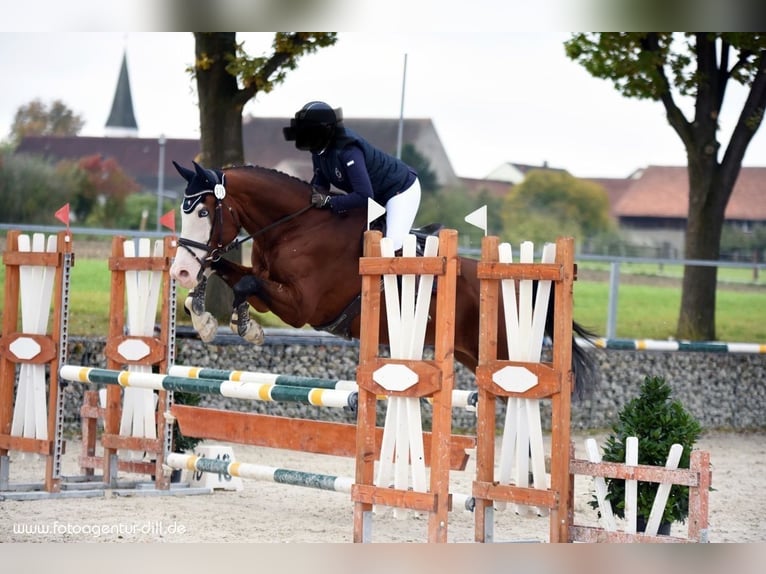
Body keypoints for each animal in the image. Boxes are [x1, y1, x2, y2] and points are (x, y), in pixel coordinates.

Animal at [170, 160, 600, 398]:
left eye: (204, 213)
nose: (179, 270)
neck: (293, 227)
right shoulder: (267, 285)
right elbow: (229, 274)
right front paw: (203, 316)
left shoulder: (301, 307)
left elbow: (243, 285)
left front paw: (243, 327)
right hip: (470, 352)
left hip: (507, 354)